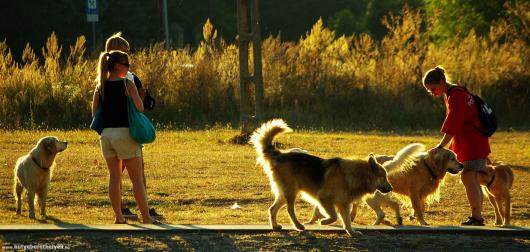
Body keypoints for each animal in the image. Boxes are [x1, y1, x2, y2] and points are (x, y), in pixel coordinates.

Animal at [249, 119, 392, 235]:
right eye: (383, 176)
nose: (391, 188)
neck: (355, 175)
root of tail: (280, 154)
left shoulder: (344, 204)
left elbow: (347, 220)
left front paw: (351, 232)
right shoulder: (324, 198)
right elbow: (334, 216)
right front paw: (323, 222)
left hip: (284, 193)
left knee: (272, 209)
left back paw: (275, 226)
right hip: (291, 192)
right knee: (290, 210)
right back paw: (298, 226)